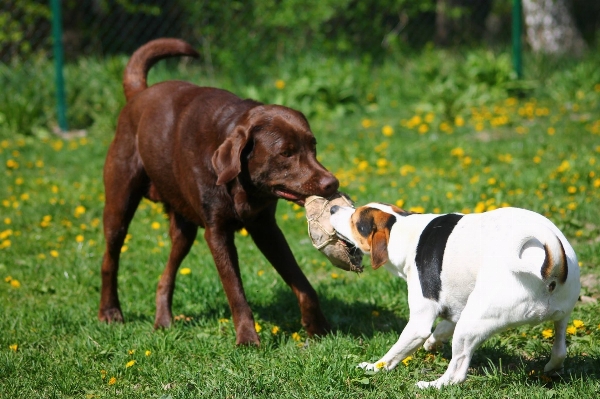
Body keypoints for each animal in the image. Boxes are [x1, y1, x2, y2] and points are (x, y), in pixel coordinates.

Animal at [101, 39, 340, 346]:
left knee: (167, 274)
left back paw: (163, 320)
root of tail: (138, 94)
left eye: (313, 146)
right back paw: (110, 312)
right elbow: (235, 291)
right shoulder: (217, 233)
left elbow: (302, 283)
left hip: (185, 229)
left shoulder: (266, 228)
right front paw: (248, 339)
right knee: (110, 258)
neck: (241, 185)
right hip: (120, 204)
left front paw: (317, 327)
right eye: (285, 153)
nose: (332, 183)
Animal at [330, 205, 580, 390]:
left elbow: (393, 354)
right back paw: (552, 368)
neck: (404, 229)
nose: (333, 207)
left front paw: (373, 367)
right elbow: (441, 328)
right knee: (560, 350)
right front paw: (432, 343)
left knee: (457, 373)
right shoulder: (455, 307)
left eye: (355, 220)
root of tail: (551, 266)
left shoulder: (419, 323)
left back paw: (431, 385)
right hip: (561, 317)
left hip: (470, 325)